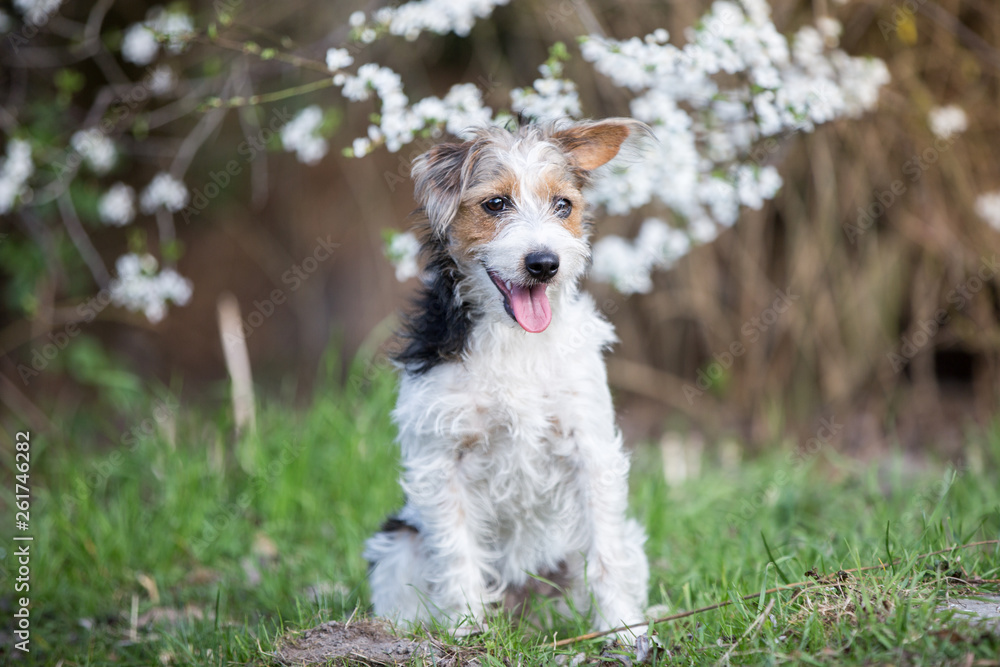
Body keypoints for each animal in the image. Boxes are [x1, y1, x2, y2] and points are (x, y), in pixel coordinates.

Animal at [364, 118, 652, 636]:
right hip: (398, 545)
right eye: (495, 204)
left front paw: (623, 630)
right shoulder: (441, 462)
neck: (515, 339)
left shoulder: (590, 450)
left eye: (564, 206)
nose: (544, 264)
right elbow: (457, 553)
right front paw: (467, 631)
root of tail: (526, 612)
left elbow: (605, 556)